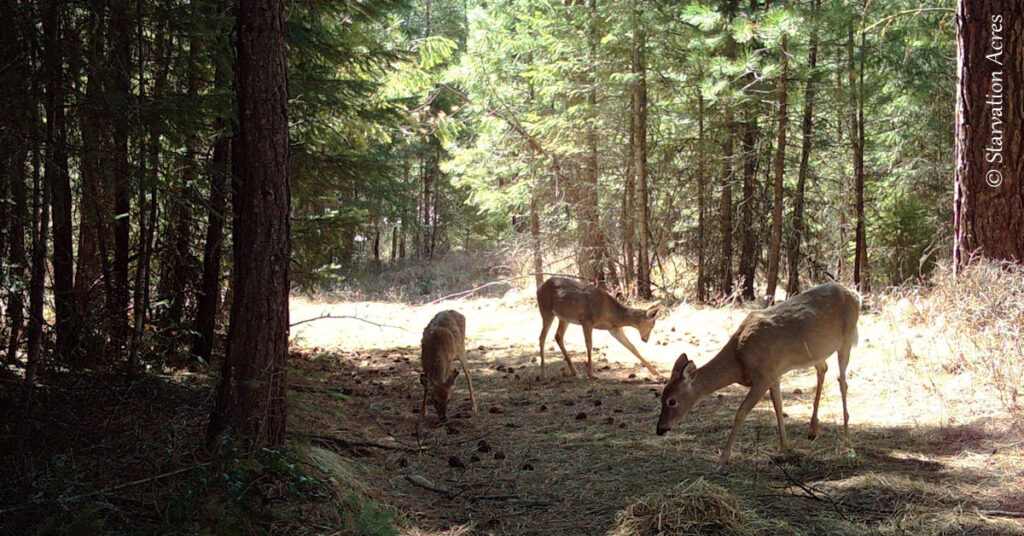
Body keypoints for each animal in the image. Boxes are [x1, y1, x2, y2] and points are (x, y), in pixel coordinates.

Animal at [651, 282, 860, 467]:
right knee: (823, 370)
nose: (660, 429)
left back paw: (847, 441)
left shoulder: (764, 376)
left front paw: (722, 460)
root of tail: (854, 295)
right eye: (661, 397)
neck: (738, 361)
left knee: (843, 382)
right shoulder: (774, 374)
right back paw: (812, 430)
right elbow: (778, 407)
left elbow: (741, 412)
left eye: (672, 401)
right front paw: (785, 447)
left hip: (847, 339)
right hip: (818, 351)